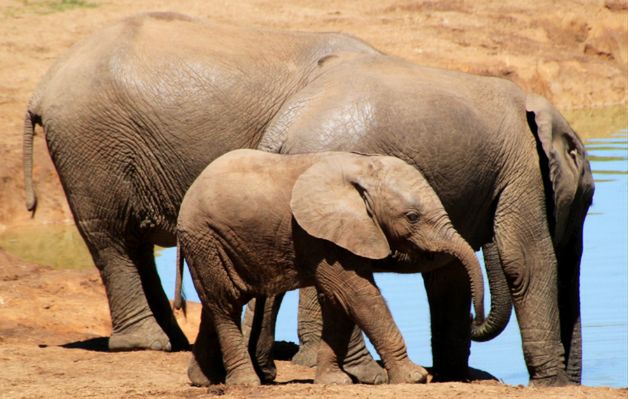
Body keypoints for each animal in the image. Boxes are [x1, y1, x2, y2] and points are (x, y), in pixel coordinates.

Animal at [178, 148, 490, 386]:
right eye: (412, 216)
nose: (475, 320)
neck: (362, 169)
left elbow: (338, 302)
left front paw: (334, 382)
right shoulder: (317, 236)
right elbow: (357, 294)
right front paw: (415, 378)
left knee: (216, 304)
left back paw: (203, 381)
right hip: (205, 238)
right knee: (225, 304)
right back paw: (246, 383)